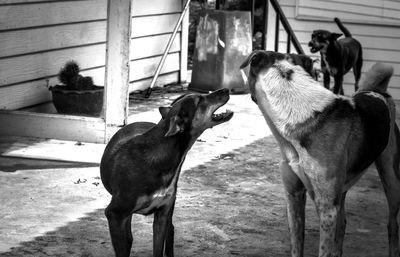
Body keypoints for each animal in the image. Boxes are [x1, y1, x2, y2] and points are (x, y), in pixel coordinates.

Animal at [99, 88, 233, 256]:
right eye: (199, 100)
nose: (226, 89)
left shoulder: (162, 215)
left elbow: (158, 248)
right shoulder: (115, 214)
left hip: (169, 208)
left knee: (170, 231)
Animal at [241, 55, 400, 255]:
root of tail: (378, 92)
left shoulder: (326, 209)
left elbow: (324, 250)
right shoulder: (294, 196)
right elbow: (297, 245)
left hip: (391, 179)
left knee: (392, 225)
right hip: (341, 191)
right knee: (343, 225)